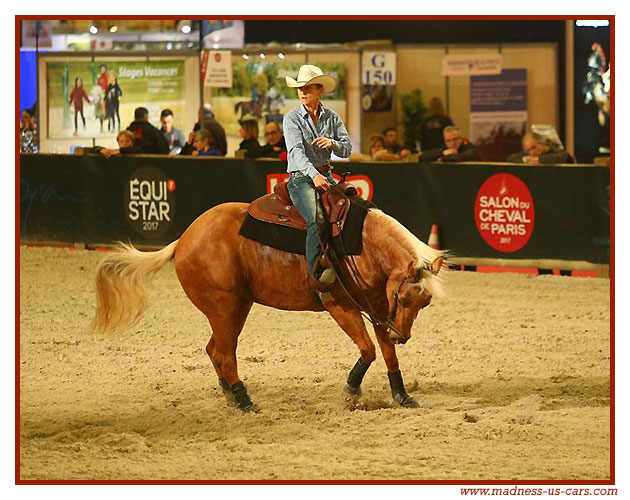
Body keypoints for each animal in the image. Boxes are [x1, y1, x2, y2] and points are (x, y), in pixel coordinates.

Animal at [91, 201, 446, 412]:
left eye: (425, 302)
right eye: (405, 298)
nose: (402, 335)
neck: (361, 244)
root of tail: (184, 239)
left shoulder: (378, 309)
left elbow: (387, 353)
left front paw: (402, 395)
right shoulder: (340, 305)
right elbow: (369, 351)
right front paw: (351, 389)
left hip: (236, 308)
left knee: (216, 350)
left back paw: (231, 394)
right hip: (224, 307)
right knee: (224, 354)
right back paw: (245, 401)